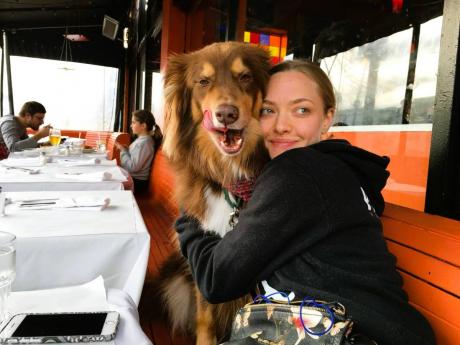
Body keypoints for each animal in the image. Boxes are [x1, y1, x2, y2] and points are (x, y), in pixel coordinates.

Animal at [144, 41, 272, 342]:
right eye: (203, 81)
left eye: (245, 77)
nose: (227, 114)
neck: (230, 177)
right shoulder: (203, 260)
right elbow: (206, 318)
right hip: (175, 279)